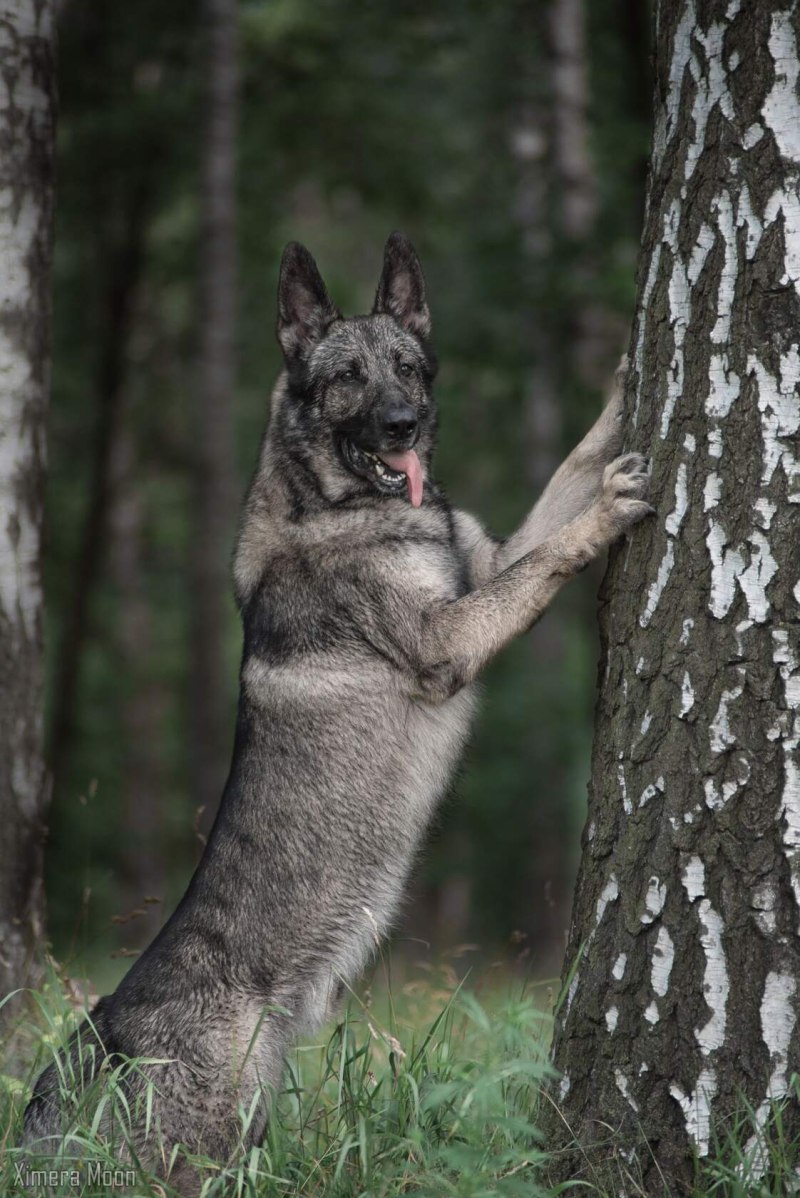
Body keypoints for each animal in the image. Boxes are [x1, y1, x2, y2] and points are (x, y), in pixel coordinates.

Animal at [23, 228, 651, 1183]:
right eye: (348, 377)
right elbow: (550, 559)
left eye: (410, 369)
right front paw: (604, 519)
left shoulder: (489, 558)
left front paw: (617, 394)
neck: (336, 503)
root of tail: (99, 1042)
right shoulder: (452, 638)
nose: (405, 426)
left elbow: (566, 471)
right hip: (212, 1142)